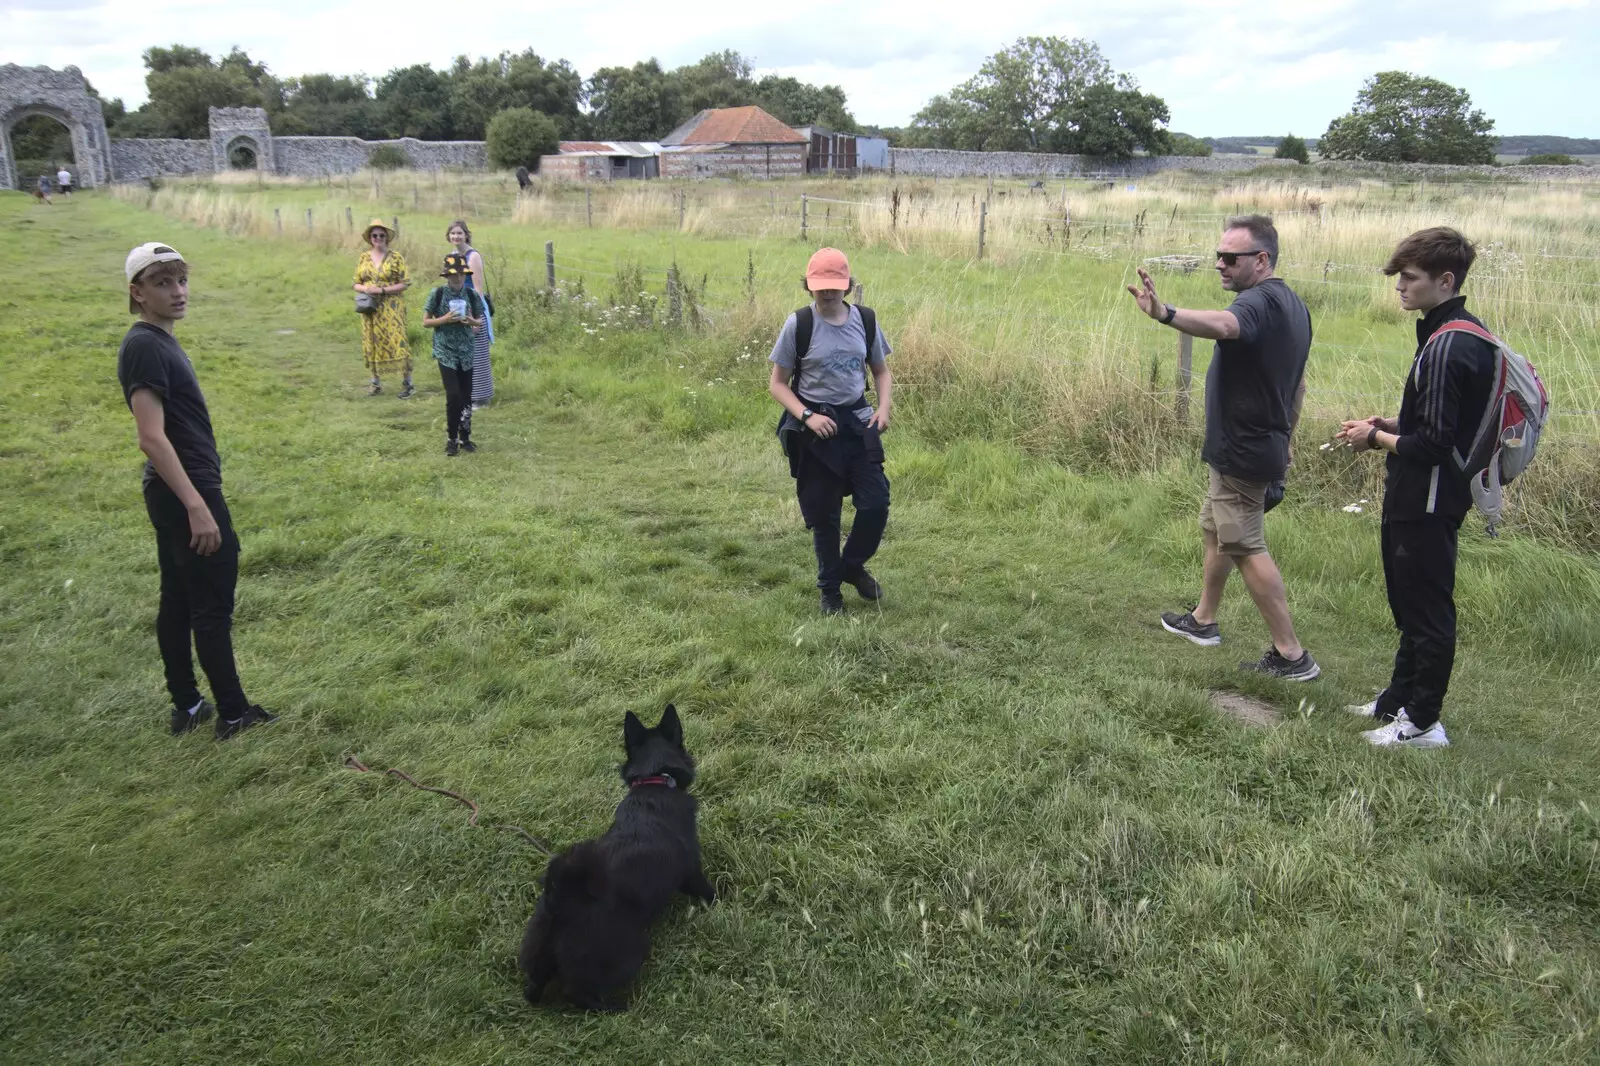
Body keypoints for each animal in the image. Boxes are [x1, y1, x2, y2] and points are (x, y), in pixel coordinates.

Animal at [518, 701, 713, 1011]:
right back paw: (617, 1008)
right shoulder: (692, 872)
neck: (654, 782)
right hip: (630, 950)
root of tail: (561, 898)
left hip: (539, 956)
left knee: (533, 988)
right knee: (579, 993)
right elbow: (708, 890)